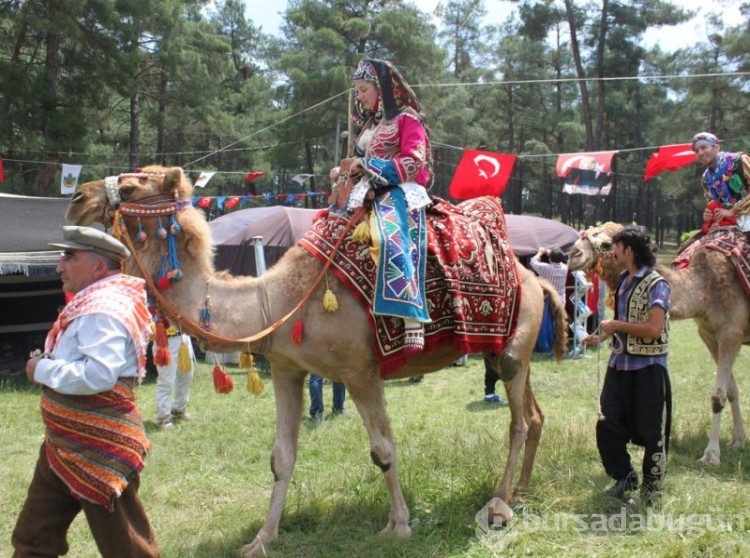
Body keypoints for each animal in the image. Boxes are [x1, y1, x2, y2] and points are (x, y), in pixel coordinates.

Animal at [66, 167, 568, 558]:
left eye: (131, 185)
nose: (76, 200)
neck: (277, 301)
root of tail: (534, 279)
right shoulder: (287, 369)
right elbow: (282, 457)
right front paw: (263, 537)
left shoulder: (361, 372)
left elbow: (384, 450)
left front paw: (399, 525)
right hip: (510, 352)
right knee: (536, 414)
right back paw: (522, 491)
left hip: (512, 347)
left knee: (518, 421)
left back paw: (499, 504)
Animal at [568, 223, 750, 468]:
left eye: (606, 244)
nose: (572, 255)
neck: (703, 289)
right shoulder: (709, 335)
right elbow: (731, 390)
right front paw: (738, 440)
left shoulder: (731, 333)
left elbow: (718, 395)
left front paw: (711, 455)